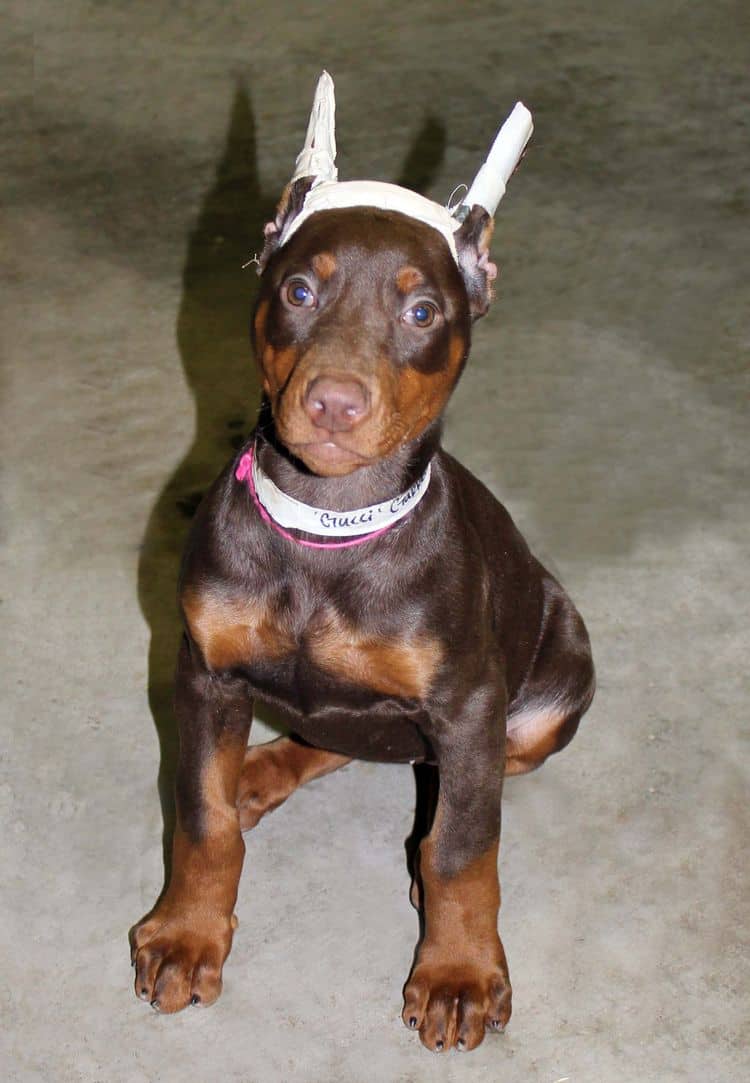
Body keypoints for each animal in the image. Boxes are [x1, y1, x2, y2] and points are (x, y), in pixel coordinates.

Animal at [131, 86, 593, 1057]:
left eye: (422, 314)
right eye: (298, 290)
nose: (334, 404)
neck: (328, 529)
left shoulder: (468, 701)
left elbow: (463, 847)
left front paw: (458, 971)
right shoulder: (203, 670)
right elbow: (201, 816)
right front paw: (188, 932)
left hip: (553, 682)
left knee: (462, 783)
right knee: (326, 736)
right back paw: (258, 768)